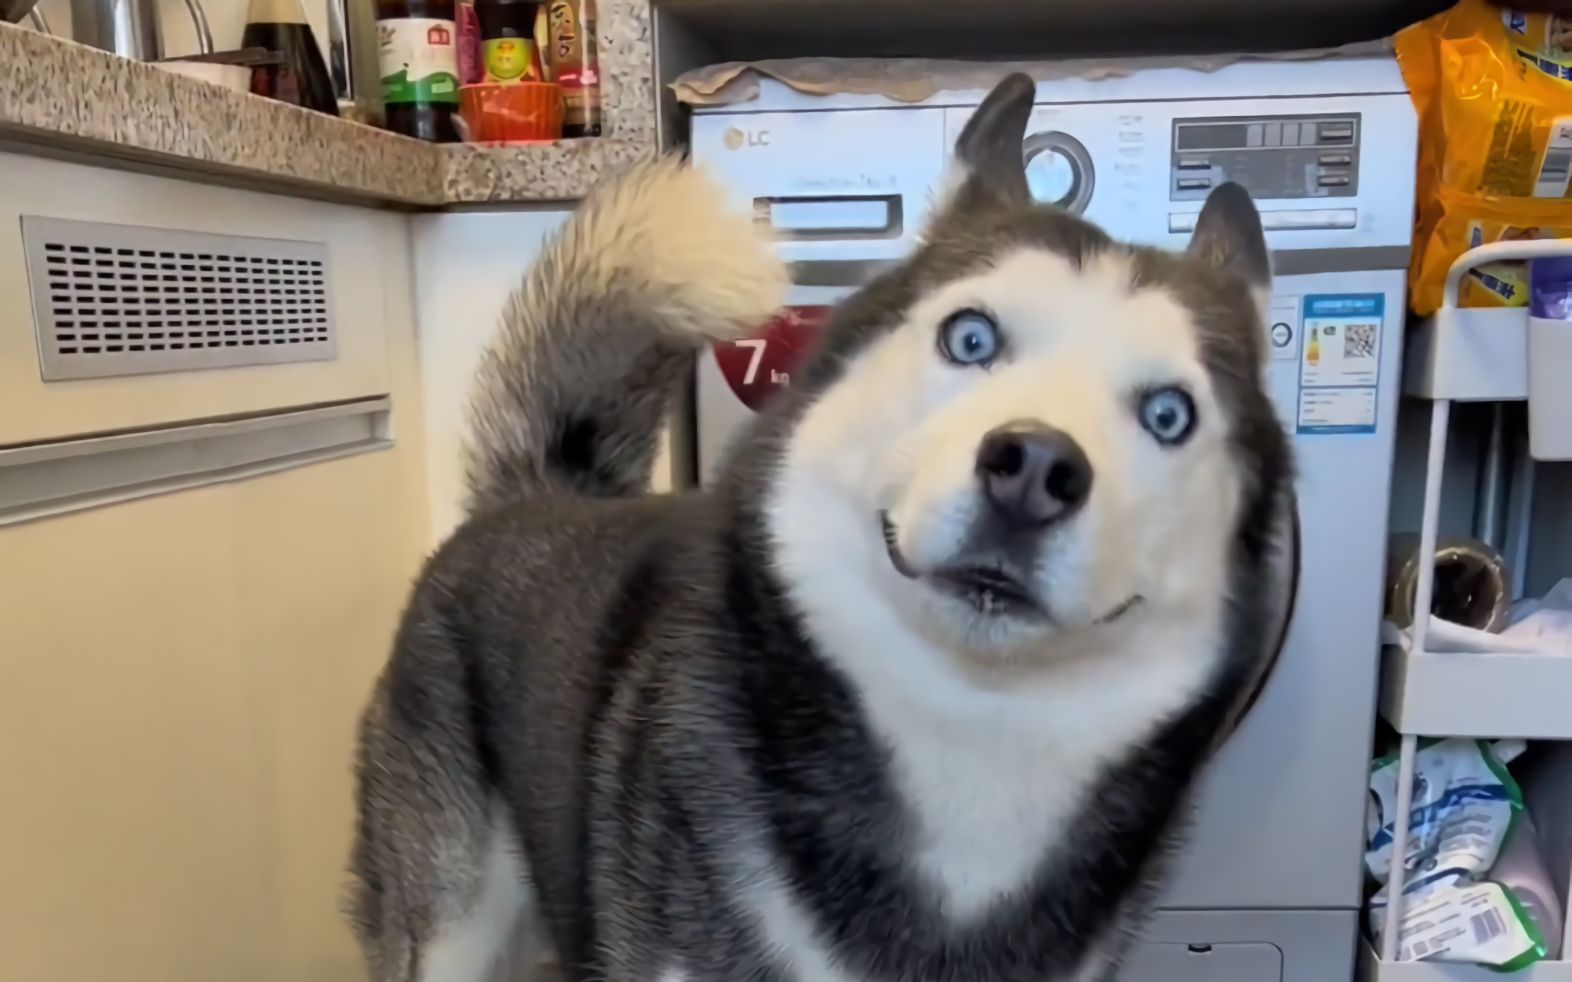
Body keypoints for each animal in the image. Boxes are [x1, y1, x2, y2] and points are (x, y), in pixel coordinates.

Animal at [348, 72, 1296, 982]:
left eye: (1170, 414)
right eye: (971, 336)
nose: (1032, 471)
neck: (969, 749)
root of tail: (539, 493)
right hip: (451, 928)